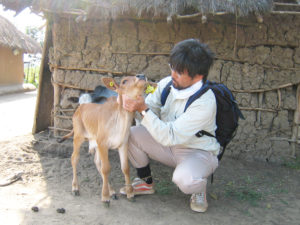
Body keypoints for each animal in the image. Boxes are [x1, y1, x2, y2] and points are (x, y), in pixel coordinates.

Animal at [59, 74, 148, 207]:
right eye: (124, 81)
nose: (141, 75)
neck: (120, 122)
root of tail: (80, 108)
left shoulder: (123, 144)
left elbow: (125, 168)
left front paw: (130, 194)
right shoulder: (103, 143)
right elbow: (106, 168)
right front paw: (105, 198)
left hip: (94, 141)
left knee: (97, 162)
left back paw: (111, 191)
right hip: (79, 136)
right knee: (74, 158)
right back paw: (75, 188)